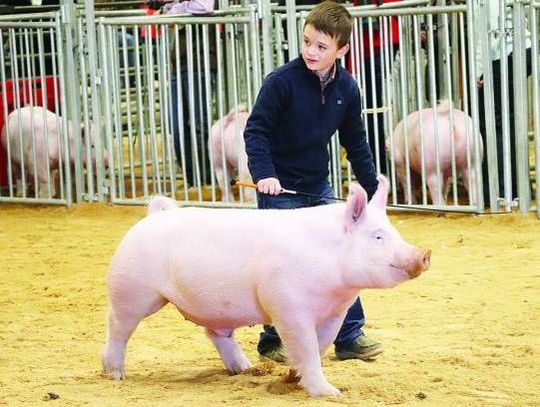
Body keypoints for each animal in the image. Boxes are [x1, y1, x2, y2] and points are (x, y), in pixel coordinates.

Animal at [101, 176, 430, 398]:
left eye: (395, 232)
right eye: (377, 237)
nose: (423, 254)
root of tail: (154, 215)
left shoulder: (336, 312)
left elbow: (321, 345)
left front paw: (293, 378)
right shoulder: (288, 306)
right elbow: (307, 346)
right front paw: (330, 393)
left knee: (217, 335)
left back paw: (244, 369)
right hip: (133, 290)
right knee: (117, 326)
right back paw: (115, 375)